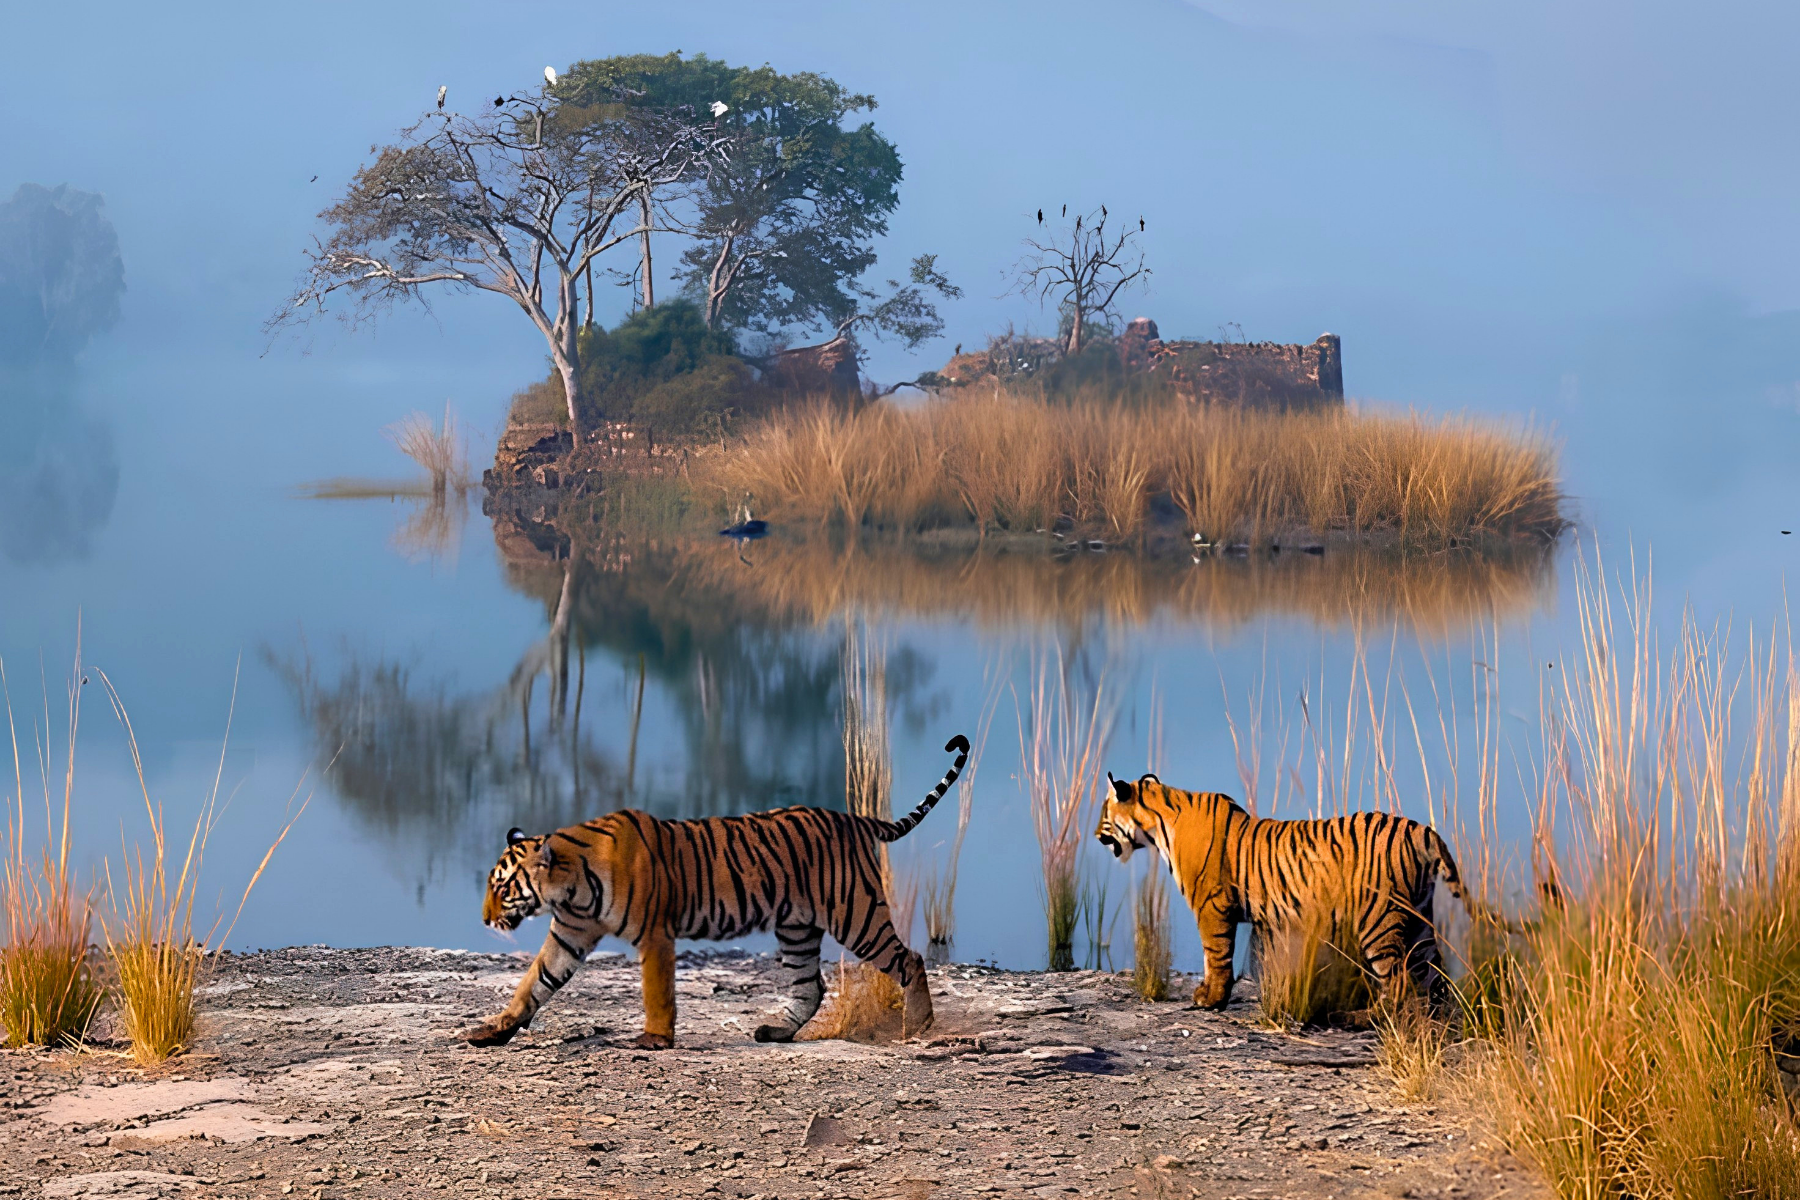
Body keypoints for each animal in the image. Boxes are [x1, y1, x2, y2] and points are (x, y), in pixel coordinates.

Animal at [466, 733, 971, 1051]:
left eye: (503, 887)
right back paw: (775, 1033)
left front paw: (655, 1040)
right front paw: (494, 1030)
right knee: (811, 986)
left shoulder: (655, 935)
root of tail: (855, 819)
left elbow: (657, 993)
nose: (485, 920)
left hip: (855, 913)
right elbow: (534, 982)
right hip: (798, 928)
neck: (570, 887)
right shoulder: (569, 933)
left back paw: (918, 1026)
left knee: (910, 959)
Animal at [1095, 773, 1467, 1012]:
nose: (1097, 836)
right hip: (1419, 920)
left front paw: (1210, 999)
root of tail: (1421, 831)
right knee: (1436, 979)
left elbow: (1215, 954)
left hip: (1379, 921)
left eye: (1104, 812)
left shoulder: (1211, 905)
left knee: (1399, 981)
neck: (1159, 827)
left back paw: (1376, 1017)